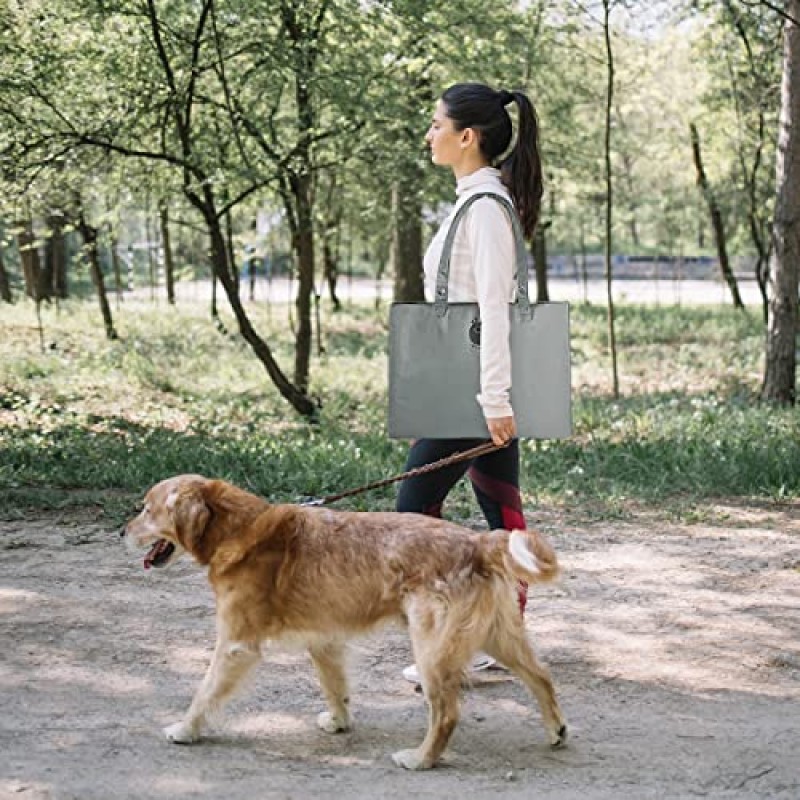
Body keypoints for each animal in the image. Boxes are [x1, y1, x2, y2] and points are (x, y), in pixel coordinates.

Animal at [122, 476, 564, 768]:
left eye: (146, 508)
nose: (120, 531)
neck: (239, 530)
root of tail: (479, 541)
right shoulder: (324, 640)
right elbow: (334, 686)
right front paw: (338, 722)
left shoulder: (234, 646)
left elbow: (204, 693)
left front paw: (185, 729)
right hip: (499, 638)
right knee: (542, 677)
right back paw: (556, 731)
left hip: (432, 652)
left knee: (447, 713)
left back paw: (420, 758)